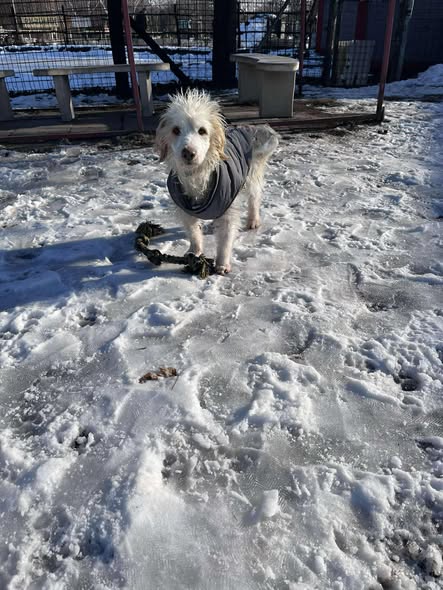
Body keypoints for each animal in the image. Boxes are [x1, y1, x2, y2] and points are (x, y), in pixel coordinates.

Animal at [155, 89, 279, 274]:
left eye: (202, 131)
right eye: (175, 130)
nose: (188, 153)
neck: (198, 176)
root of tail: (247, 128)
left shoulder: (228, 209)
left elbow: (225, 238)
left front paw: (222, 263)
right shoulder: (185, 209)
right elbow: (193, 231)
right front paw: (195, 251)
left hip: (252, 175)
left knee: (254, 198)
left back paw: (253, 220)